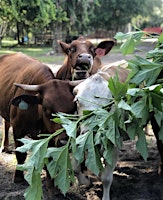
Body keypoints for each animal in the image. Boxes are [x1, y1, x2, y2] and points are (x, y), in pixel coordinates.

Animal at [0, 52, 77, 183]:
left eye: (73, 109)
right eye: (46, 109)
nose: (64, 141)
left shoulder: (50, 136)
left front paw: (51, 179)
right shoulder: (18, 130)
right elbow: (21, 154)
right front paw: (19, 177)